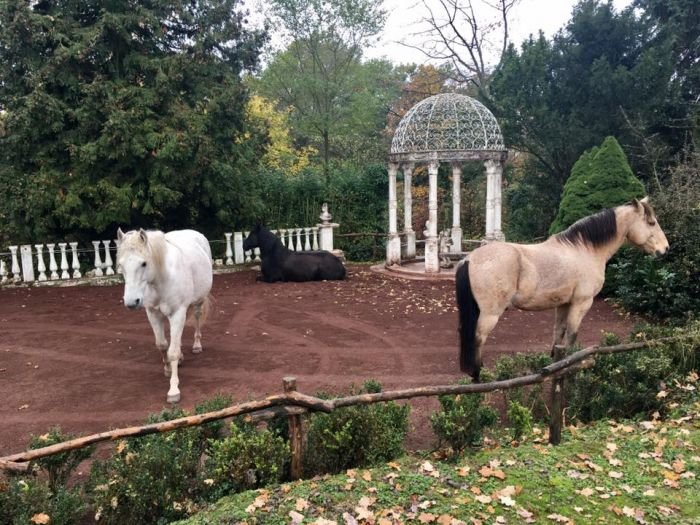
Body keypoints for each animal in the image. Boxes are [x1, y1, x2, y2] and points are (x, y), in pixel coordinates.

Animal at [116, 228, 213, 403]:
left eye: (144, 263)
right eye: (121, 265)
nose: (131, 302)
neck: (161, 279)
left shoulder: (177, 313)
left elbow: (172, 352)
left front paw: (173, 390)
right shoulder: (153, 314)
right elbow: (162, 345)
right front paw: (168, 368)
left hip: (198, 302)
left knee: (196, 318)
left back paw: (197, 346)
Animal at [456, 197, 669, 382]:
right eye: (651, 222)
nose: (665, 249)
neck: (585, 250)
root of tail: (469, 258)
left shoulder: (563, 304)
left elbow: (558, 334)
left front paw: (555, 365)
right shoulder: (581, 303)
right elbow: (572, 337)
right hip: (490, 314)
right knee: (478, 339)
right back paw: (478, 377)